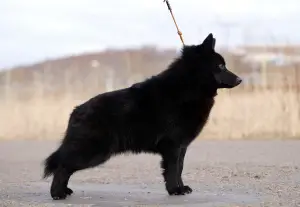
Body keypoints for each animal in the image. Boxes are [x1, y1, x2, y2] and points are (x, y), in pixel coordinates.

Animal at [43, 33, 243, 200]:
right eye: (220, 66)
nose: (240, 79)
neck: (187, 87)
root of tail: (76, 111)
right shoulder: (173, 146)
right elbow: (173, 170)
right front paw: (175, 190)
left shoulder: (181, 147)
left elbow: (179, 168)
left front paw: (180, 188)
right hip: (93, 151)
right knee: (63, 167)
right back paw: (57, 194)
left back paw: (64, 191)